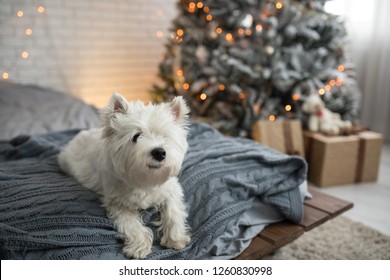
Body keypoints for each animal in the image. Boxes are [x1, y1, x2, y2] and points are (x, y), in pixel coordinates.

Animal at [58, 93, 190, 260]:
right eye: (136, 136)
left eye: (165, 137)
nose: (159, 152)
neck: (145, 180)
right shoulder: (118, 205)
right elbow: (132, 226)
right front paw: (139, 247)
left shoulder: (171, 191)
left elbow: (174, 212)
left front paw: (176, 238)